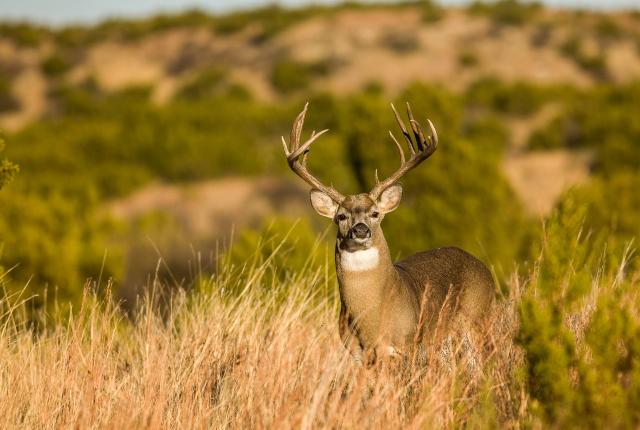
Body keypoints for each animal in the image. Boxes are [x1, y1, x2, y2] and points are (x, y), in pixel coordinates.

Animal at [281, 102, 494, 367]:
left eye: (375, 213)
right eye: (341, 216)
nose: (360, 229)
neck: (372, 322)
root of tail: (486, 270)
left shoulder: (408, 346)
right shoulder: (357, 355)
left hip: (477, 321)